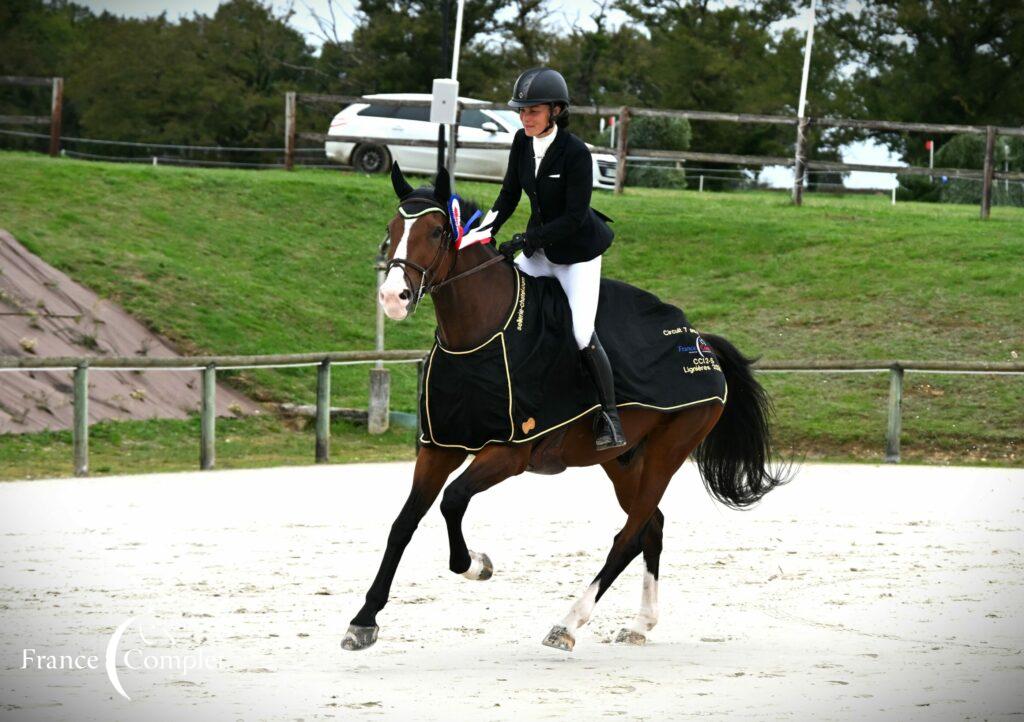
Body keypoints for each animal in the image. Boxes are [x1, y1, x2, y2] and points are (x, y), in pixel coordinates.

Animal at [339, 163, 786, 655]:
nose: (392, 298)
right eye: (392, 230)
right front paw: (363, 621)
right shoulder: (440, 446)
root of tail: (699, 340)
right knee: (651, 525)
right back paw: (640, 623)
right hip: (623, 459)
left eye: (436, 232)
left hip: (670, 448)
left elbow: (453, 501)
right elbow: (403, 523)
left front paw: (476, 563)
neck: (479, 335)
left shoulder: (510, 452)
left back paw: (568, 624)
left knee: (629, 535)